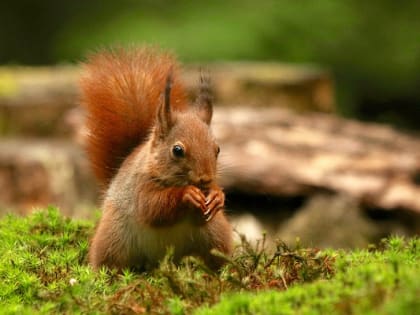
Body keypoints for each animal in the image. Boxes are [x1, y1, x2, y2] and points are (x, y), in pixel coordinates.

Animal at [79, 47, 233, 272]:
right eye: (177, 150)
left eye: (218, 149)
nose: (205, 179)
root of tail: (161, 260)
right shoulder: (140, 187)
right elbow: (153, 208)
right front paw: (187, 194)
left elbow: (202, 215)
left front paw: (216, 196)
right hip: (113, 238)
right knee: (110, 261)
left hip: (216, 234)